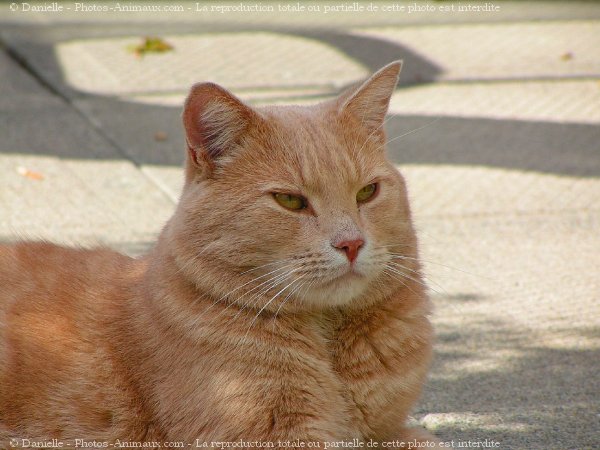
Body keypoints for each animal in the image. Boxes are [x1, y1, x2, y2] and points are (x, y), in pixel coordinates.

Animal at [0, 61, 440, 448]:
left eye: (367, 192)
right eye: (289, 201)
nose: (351, 243)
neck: (328, 345)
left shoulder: (391, 430)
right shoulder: (270, 436)